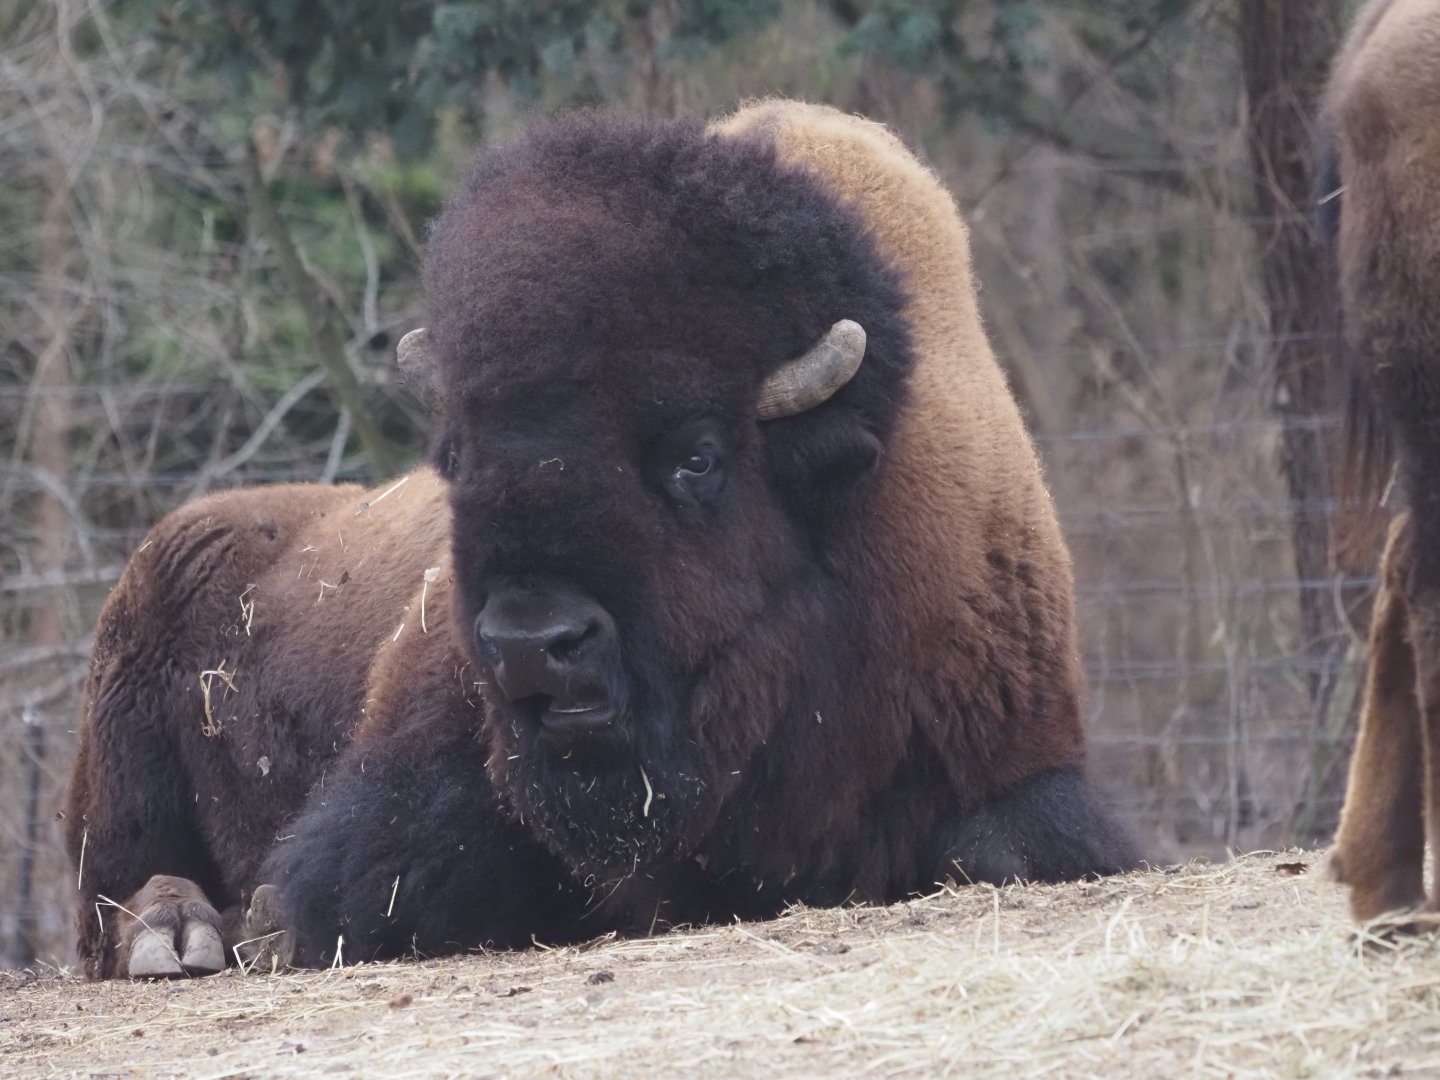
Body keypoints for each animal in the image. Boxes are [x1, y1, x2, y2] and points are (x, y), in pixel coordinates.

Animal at [64, 100, 1138, 978]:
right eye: (458, 455)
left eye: (699, 456)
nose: (532, 644)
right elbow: (350, 887)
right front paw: (262, 928)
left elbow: (1007, 846)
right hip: (115, 787)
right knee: (124, 889)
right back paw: (179, 937)